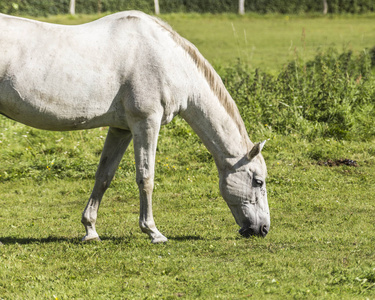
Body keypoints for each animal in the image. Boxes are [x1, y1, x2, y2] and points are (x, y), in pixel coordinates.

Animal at [0, 11, 270, 244]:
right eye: (258, 182)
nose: (263, 229)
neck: (167, 59)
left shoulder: (121, 129)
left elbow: (104, 176)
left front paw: (90, 230)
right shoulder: (146, 122)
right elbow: (146, 177)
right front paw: (153, 232)